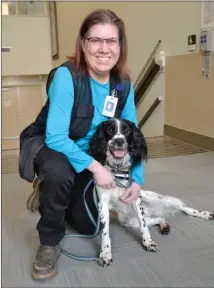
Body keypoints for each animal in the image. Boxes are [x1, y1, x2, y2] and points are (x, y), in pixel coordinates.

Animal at [88, 118, 212, 266]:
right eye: (110, 130)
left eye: (126, 130)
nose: (119, 141)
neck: (118, 171)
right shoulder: (103, 204)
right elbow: (105, 232)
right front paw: (105, 253)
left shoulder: (135, 199)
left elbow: (144, 226)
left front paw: (148, 242)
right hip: (129, 221)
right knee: (160, 217)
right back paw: (164, 225)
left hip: (155, 199)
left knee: (184, 208)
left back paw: (204, 214)